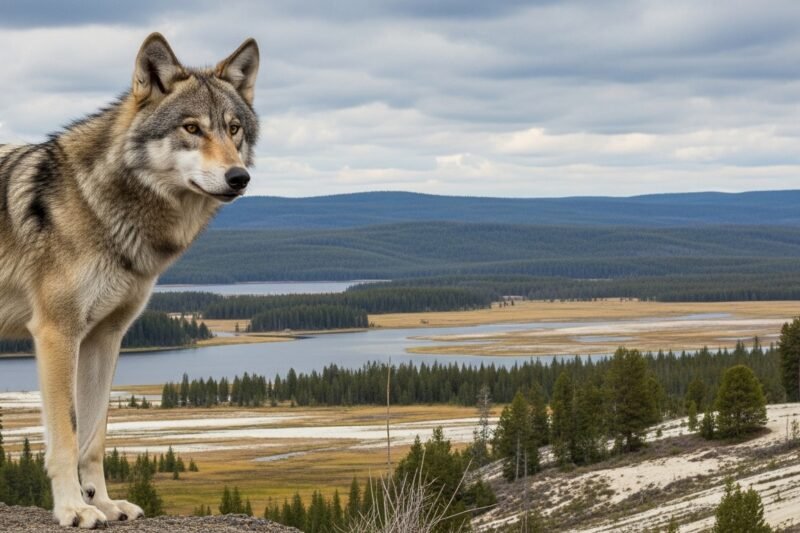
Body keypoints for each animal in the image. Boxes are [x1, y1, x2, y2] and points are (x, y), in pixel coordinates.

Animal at [0, 33, 259, 527]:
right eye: (191, 128)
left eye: (234, 128)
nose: (240, 177)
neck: (98, 204)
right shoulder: (57, 334)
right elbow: (66, 436)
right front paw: (72, 509)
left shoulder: (105, 337)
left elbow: (94, 438)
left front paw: (101, 502)